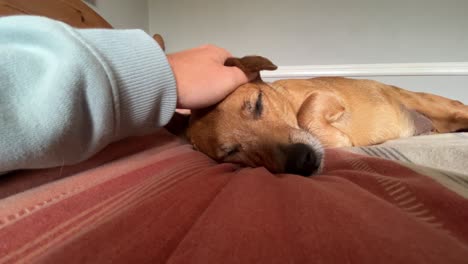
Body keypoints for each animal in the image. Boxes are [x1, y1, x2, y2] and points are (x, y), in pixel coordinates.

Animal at [186, 56, 468, 176]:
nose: (302, 161)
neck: (288, 101)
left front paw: (337, 138)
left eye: (257, 103)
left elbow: (307, 113)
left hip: (442, 107)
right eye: (231, 152)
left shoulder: (325, 96)